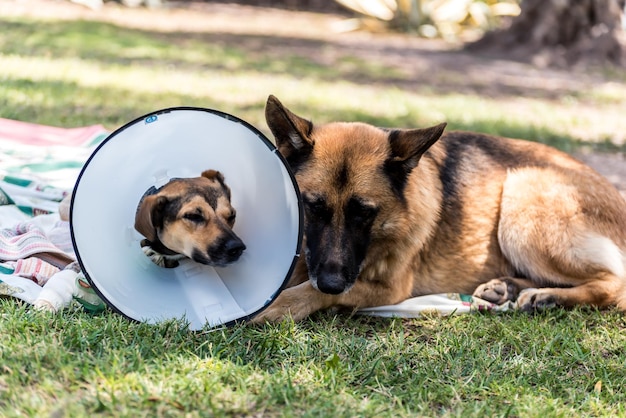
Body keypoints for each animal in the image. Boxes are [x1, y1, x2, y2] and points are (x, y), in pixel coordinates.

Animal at [250, 95, 624, 324]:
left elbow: (308, 290)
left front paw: (275, 305)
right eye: (312, 207)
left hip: (522, 196)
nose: (332, 283)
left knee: (614, 283)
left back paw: (547, 296)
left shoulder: (390, 287)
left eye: (364, 214)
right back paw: (506, 287)